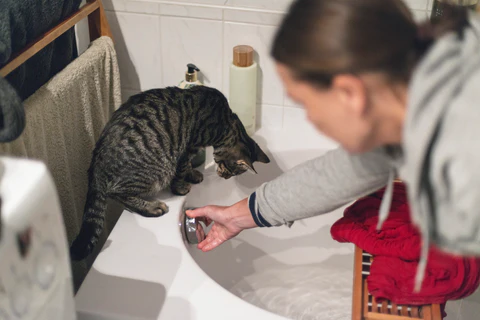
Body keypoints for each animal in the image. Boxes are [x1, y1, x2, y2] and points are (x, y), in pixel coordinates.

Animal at [70, 86, 270, 262]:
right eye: (232, 171)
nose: (225, 177)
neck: (225, 122)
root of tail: (96, 161)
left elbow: (187, 167)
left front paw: (193, 175)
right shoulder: (189, 146)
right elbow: (182, 168)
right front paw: (181, 186)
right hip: (156, 170)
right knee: (116, 193)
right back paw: (151, 207)